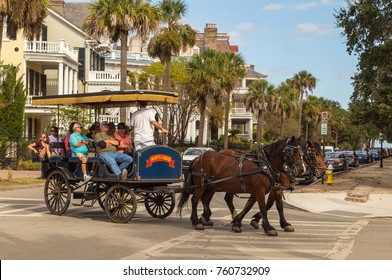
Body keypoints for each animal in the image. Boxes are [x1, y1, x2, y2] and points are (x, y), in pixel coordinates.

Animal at [178, 137, 306, 235]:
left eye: (302, 153)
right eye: (293, 152)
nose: (302, 169)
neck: (264, 164)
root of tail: (197, 157)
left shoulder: (263, 190)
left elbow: (253, 206)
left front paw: (238, 222)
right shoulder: (260, 190)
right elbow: (264, 208)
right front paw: (268, 227)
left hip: (211, 185)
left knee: (205, 199)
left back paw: (206, 218)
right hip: (201, 185)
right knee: (195, 200)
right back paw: (196, 221)